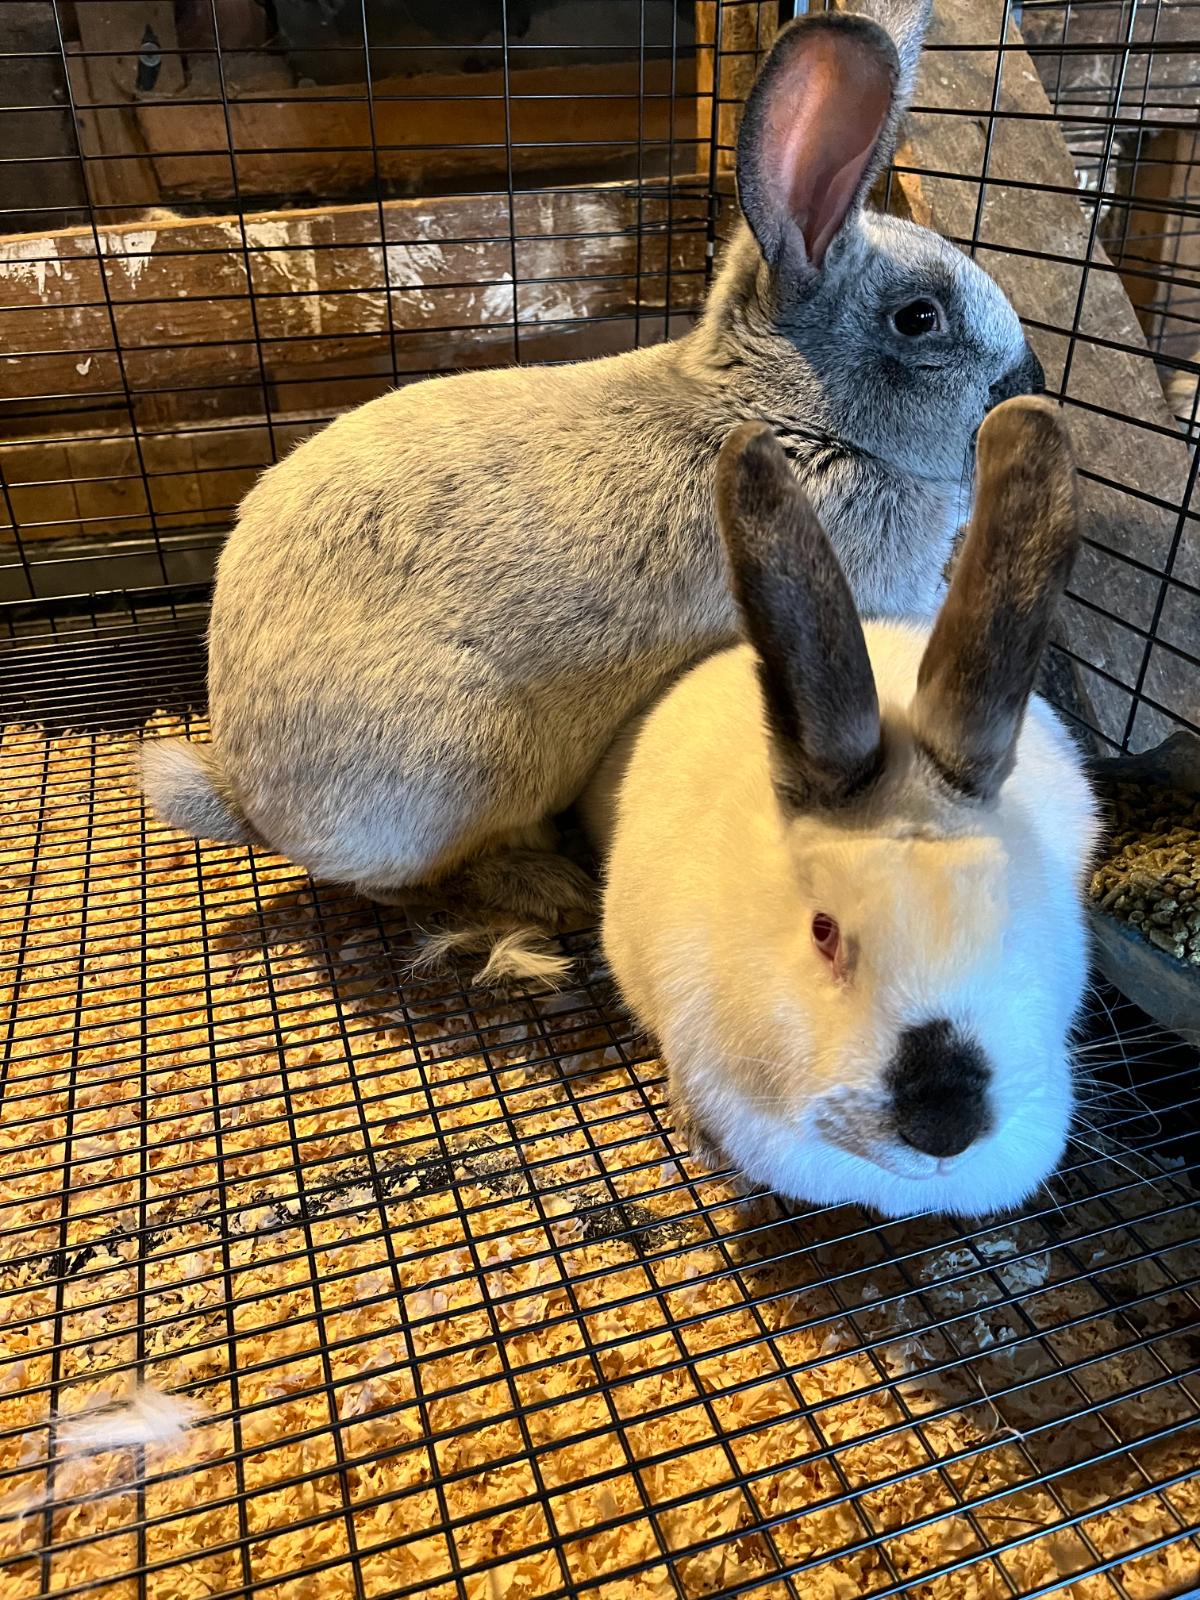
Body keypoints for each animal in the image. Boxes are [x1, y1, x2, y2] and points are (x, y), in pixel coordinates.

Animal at [141, 0, 1045, 973]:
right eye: (919, 318)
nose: (1031, 384)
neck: (789, 412)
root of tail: (245, 799)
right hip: (462, 768)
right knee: (405, 881)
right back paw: (542, 892)